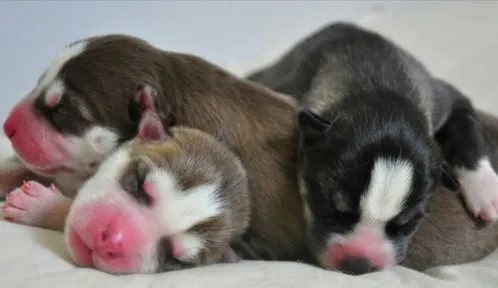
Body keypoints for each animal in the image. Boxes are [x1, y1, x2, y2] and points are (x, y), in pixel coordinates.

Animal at [248, 21, 498, 274]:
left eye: (407, 223)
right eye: (335, 208)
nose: (358, 263)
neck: (380, 86)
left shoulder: (447, 99)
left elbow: (468, 128)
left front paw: (486, 189)